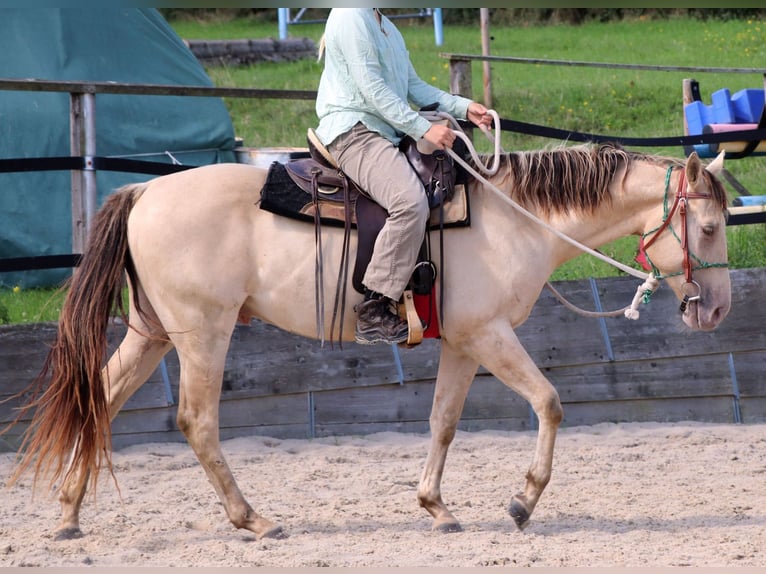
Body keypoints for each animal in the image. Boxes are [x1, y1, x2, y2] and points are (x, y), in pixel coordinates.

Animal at [5, 143, 730, 540]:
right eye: (711, 227)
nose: (718, 309)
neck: (515, 217)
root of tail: (143, 190)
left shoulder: (464, 342)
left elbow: (443, 422)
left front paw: (436, 506)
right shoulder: (490, 334)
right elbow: (549, 403)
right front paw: (523, 503)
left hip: (153, 331)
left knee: (100, 399)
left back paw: (69, 516)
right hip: (202, 330)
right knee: (196, 420)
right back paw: (254, 520)